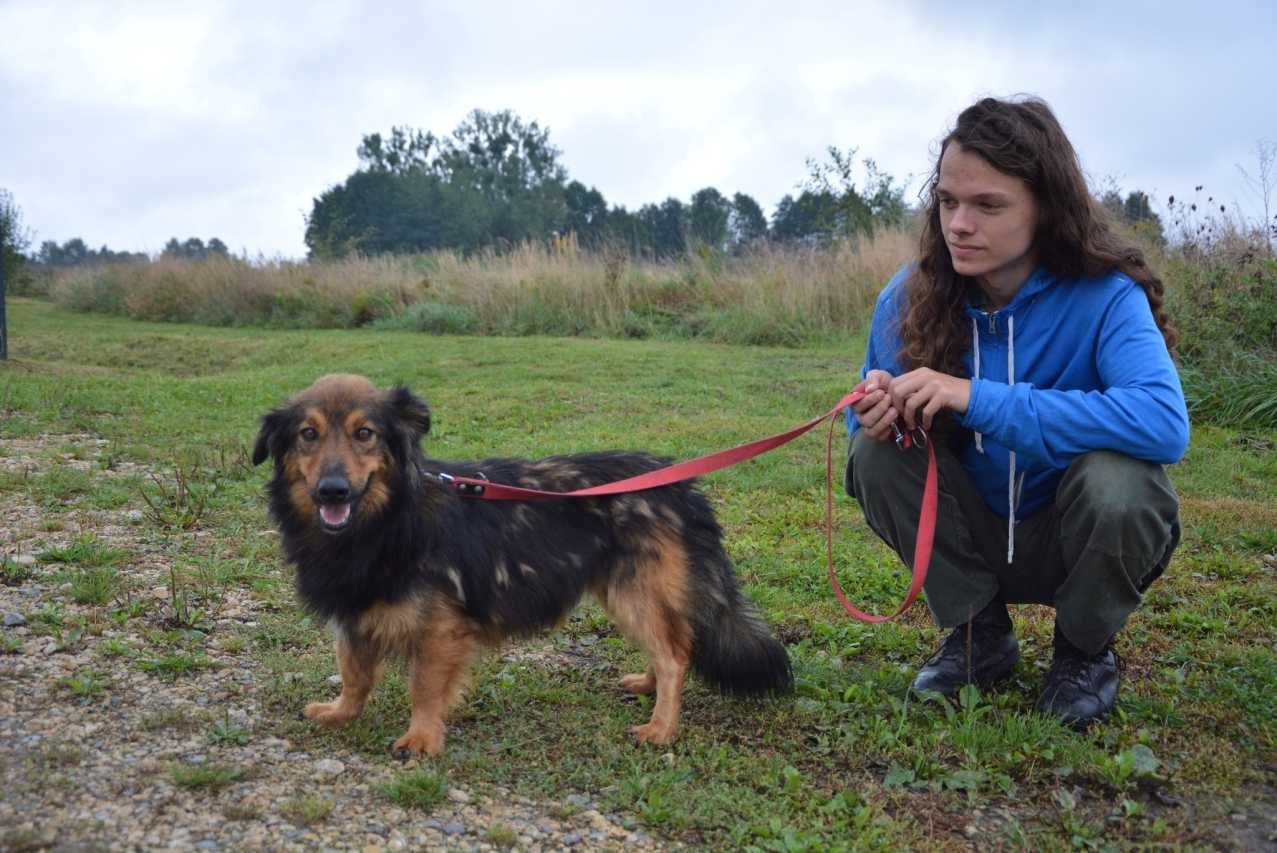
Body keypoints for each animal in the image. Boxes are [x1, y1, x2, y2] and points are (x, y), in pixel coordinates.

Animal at [251, 375, 786, 755]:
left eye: (364, 433)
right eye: (308, 434)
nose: (332, 491)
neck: (386, 518)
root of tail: (682, 486)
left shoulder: (439, 628)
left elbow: (423, 687)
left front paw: (422, 739)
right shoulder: (355, 611)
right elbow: (354, 674)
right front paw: (341, 712)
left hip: (637, 592)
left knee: (676, 656)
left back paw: (660, 728)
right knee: (671, 646)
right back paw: (647, 686)